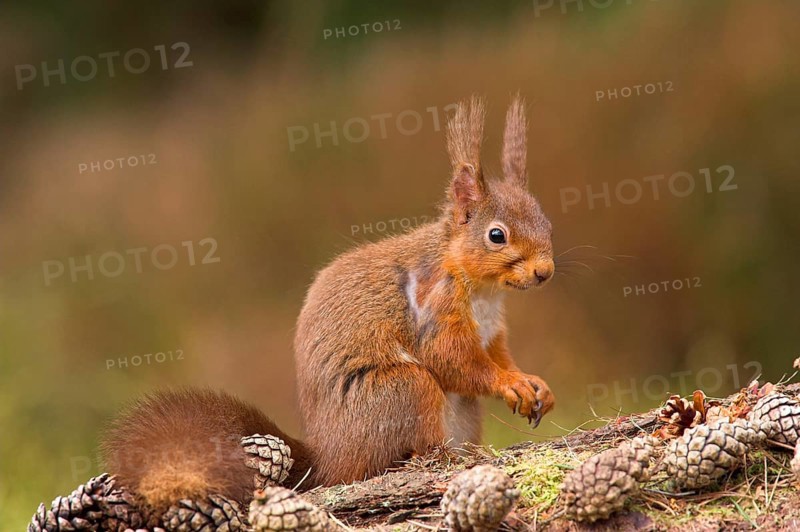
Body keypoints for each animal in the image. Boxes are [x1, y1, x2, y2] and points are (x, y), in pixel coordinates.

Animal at [100, 95, 556, 515]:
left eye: (547, 222)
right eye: (497, 236)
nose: (545, 272)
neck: (483, 292)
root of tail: (328, 460)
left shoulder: (491, 330)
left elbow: (498, 355)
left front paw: (532, 382)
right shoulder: (435, 307)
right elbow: (452, 359)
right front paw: (508, 383)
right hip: (401, 390)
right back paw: (433, 459)